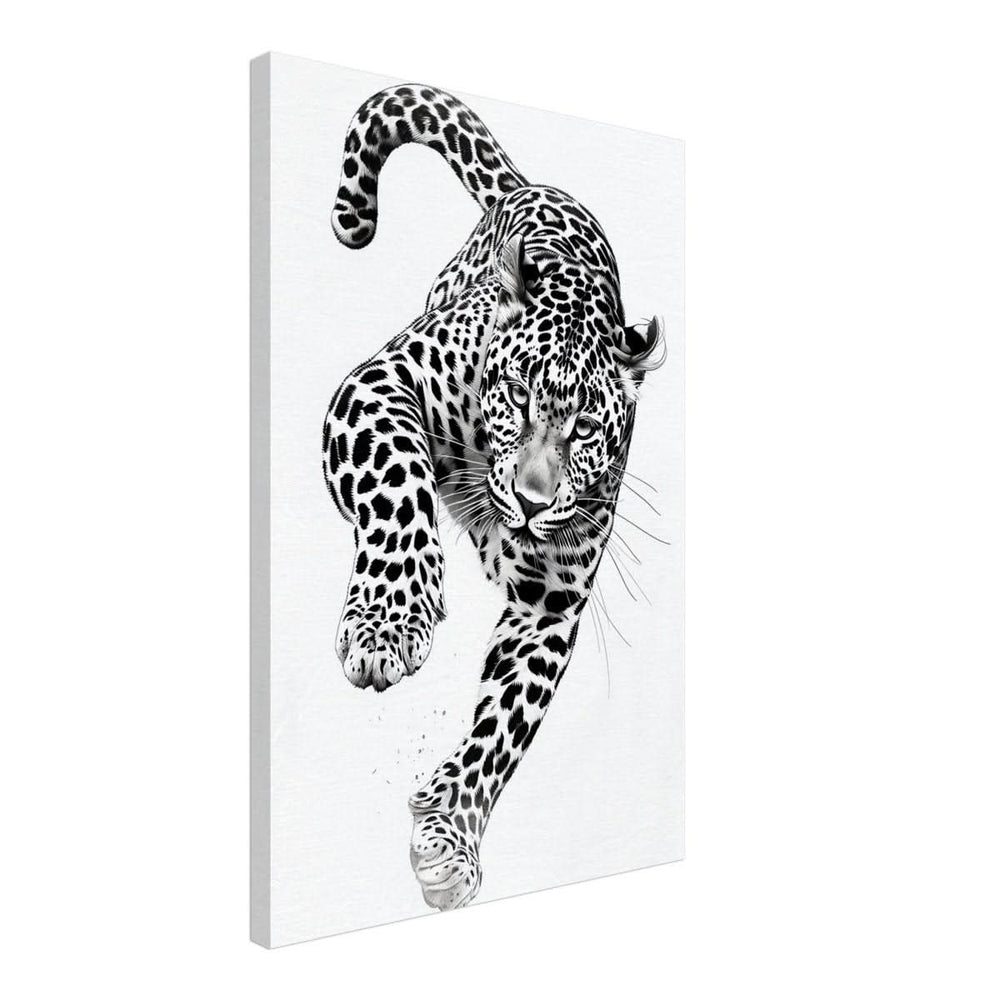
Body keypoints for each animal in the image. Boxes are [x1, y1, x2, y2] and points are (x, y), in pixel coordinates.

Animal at [322, 84, 664, 912]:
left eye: (585, 429)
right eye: (514, 394)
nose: (535, 502)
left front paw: (448, 835)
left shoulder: (550, 602)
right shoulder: (378, 385)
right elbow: (398, 482)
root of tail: (534, 186)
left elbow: (504, 725)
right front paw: (389, 623)